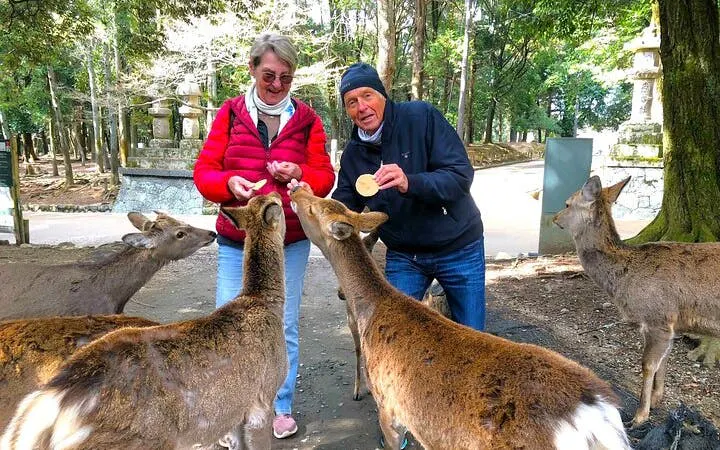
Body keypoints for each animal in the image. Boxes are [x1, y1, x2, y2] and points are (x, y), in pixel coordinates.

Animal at [290, 185, 630, 450]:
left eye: (312, 208)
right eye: (321, 200)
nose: (295, 190)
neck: (370, 312)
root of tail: (596, 423)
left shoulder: (387, 404)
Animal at [553, 175, 720, 426]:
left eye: (567, 204)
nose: (554, 218)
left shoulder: (657, 317)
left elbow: (648, 365)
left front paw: (639, 416)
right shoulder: (671, 324)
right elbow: (664, 360)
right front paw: (657, 400)